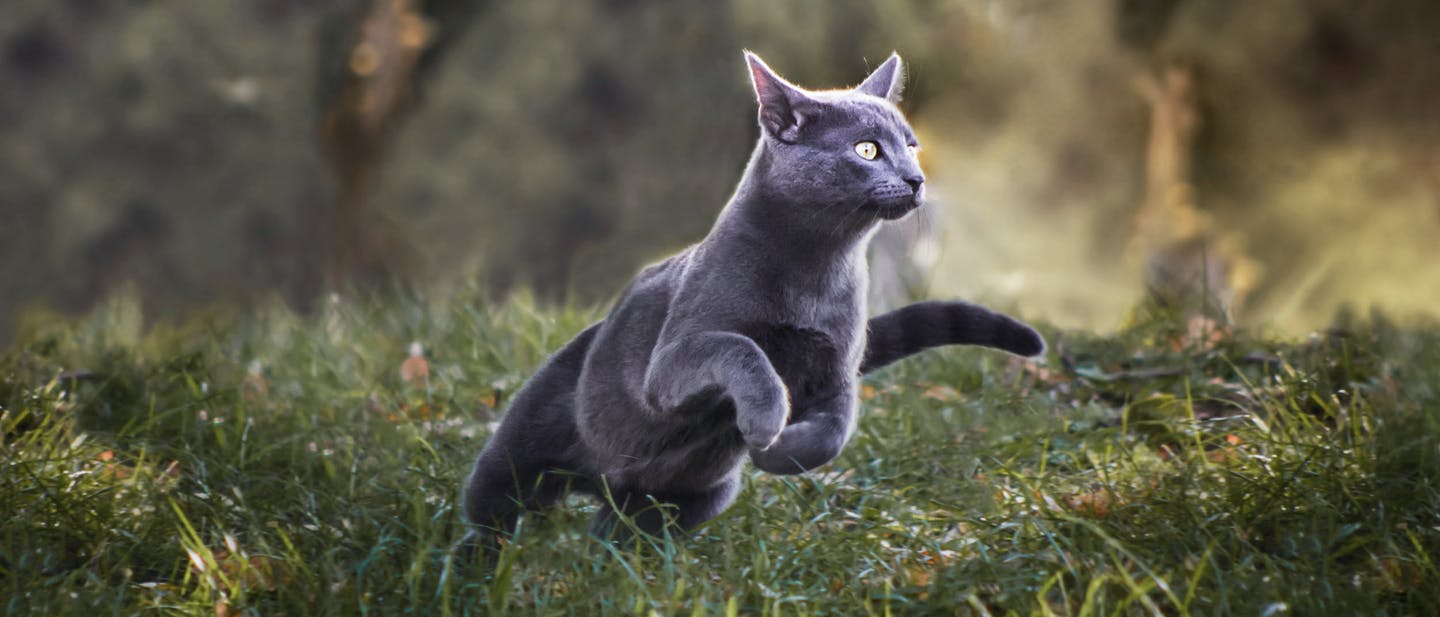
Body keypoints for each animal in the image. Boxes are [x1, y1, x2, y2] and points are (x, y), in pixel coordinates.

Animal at [455, 50, 1042, 547]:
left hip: (689, 498)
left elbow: (836, 429)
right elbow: (740, 347)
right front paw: (765, 419)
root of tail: (601, 483)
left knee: (622, 534)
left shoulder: (836, 371)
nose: (916, 178)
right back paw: (478, 562)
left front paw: (780, 452)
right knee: (494, 504)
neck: (813, 266)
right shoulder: (670, 363)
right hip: (523, 446)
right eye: (867, 149)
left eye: (911, 145)